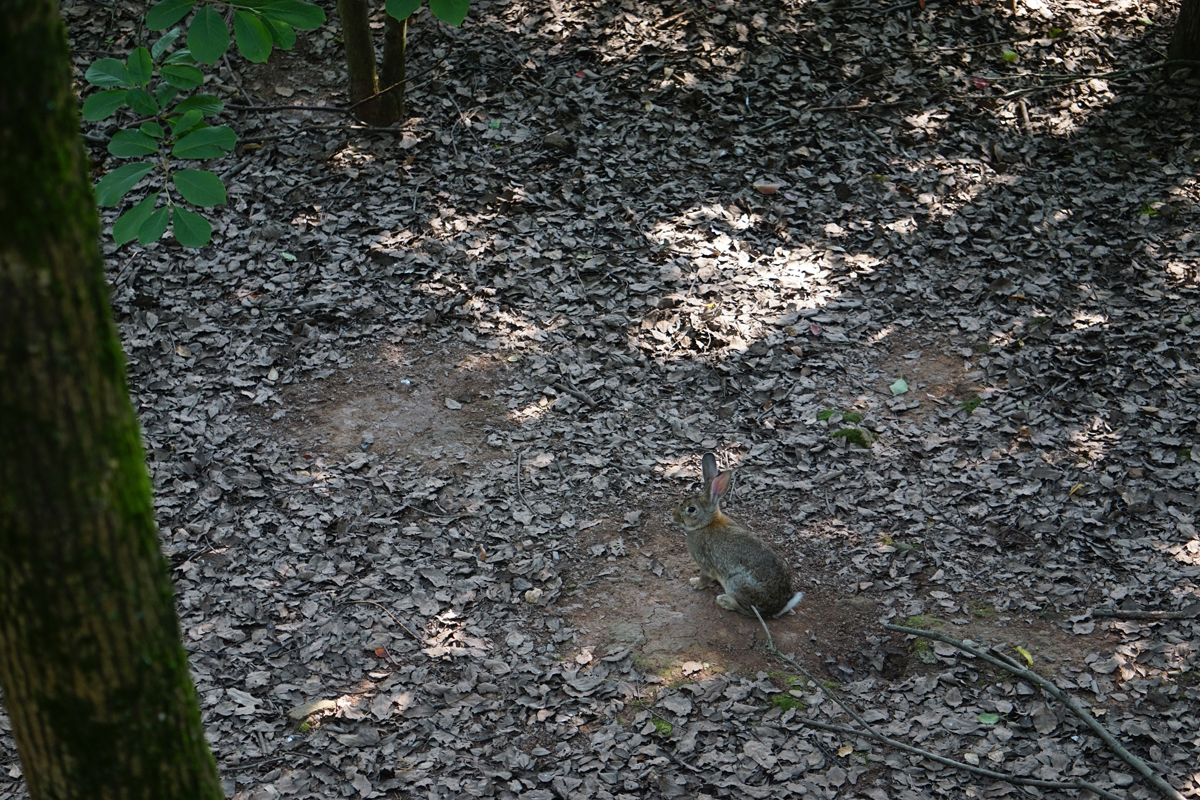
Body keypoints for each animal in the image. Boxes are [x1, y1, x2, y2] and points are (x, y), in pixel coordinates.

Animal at [672, 453, 803, 619]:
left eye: (691, 509)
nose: (673, 516)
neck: (706, 524)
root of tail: (777, 607)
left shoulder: (705, 564)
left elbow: (704, 578)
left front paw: (695, 583)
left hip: (735, 583)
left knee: (749, 611)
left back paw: (724, 601)